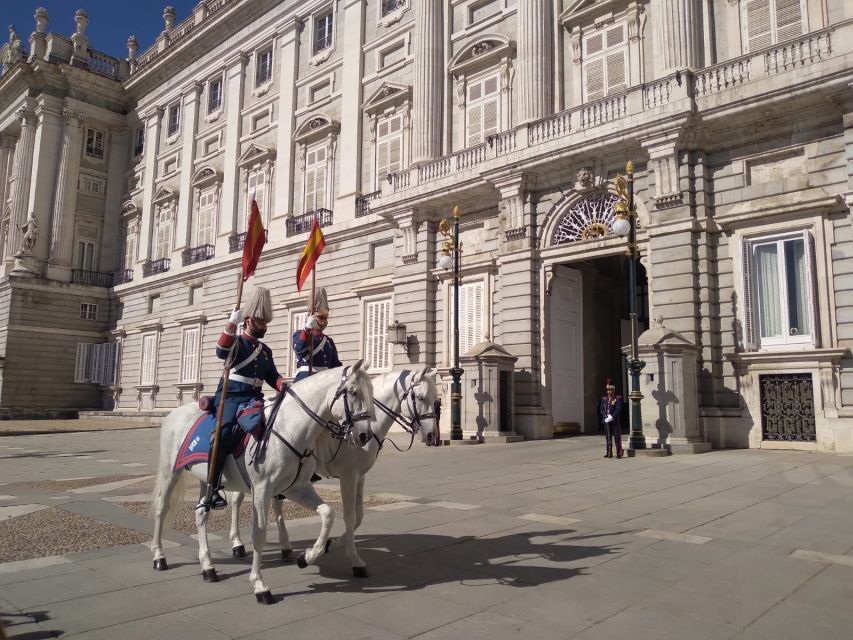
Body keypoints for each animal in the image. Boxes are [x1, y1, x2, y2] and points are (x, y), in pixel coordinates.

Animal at [149, 362, 372, 604]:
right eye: (353, 392)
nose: (364, 436)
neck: (289, 427)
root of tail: (174, 413)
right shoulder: (262, 491)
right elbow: (260, 534)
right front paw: (260, 586)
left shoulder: (297, 488)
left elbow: (327, 514)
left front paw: (307, 556)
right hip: (170, 472)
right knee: (161, 508)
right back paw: (159, 556)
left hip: (205, 479)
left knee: (200, 514)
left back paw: (208, 566)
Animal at [226, 364, 440, 580]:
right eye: (420, 397)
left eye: (435, 399)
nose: (432, 436)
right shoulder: (348, 476)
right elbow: (350, 517)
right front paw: (353, 560)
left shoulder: (360, 476)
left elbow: (358, 515)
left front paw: (328, 545)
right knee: (237, 499)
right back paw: (237, 544)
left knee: (277, 503)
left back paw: (285, 547)